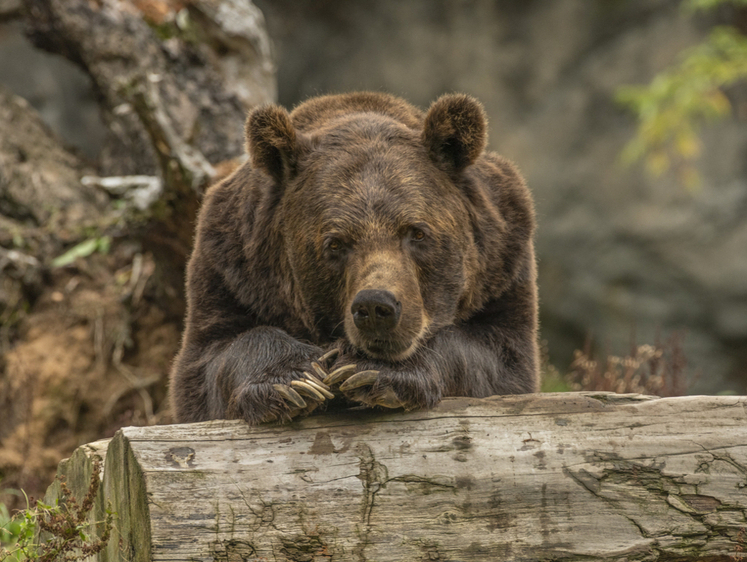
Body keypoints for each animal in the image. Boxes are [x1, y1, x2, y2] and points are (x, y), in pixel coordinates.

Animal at [169, 92, 536, 422]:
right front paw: (295, 380)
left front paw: (370, 371)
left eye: (417, 232)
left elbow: (497, 358)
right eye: (335, 243)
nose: (376, 307)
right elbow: (211, 359)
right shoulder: (232, 270)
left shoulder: (502, 265)